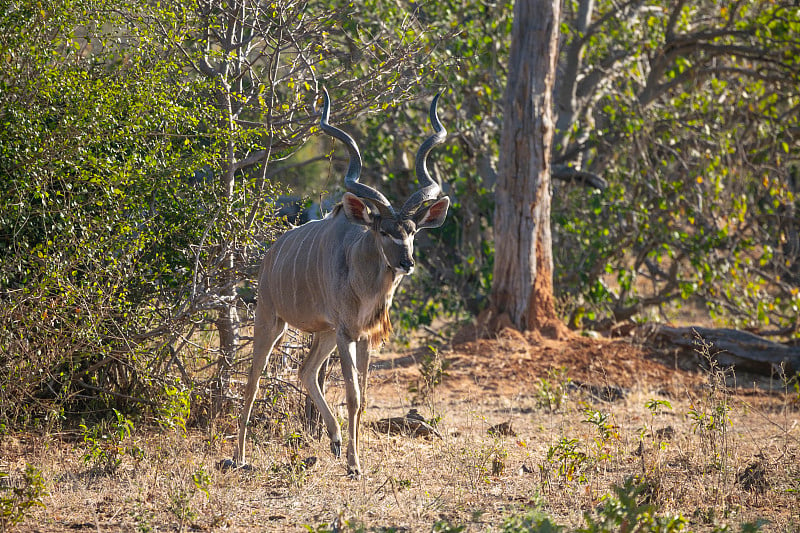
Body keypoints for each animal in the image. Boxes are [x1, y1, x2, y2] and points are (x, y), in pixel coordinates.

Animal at [236, 89, 450, 476]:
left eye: (413, 231)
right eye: (383, 231)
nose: (406, 262)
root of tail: (271, 254)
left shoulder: (363, 337)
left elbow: (362, 397)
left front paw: (351, 453)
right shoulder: (347, 333)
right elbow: (352, 395)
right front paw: (354, 464)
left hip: (322, 333)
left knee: (306, 370)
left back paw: (334, 440)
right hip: (271, 320)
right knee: (253, 379)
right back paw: (240, 457)